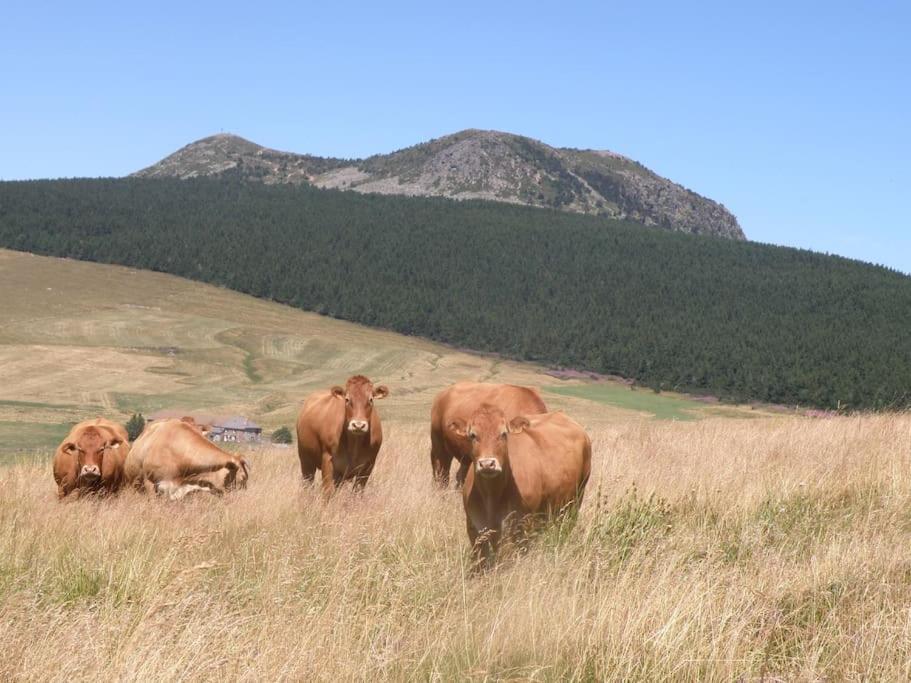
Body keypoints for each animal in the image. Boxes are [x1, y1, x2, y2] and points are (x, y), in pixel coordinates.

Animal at [452, 406, 596, 568]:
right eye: (472, 435)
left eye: (503, 434)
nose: (487, 464)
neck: (491, 497)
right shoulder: (474, 529)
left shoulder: (520, 526)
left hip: (576, 499)